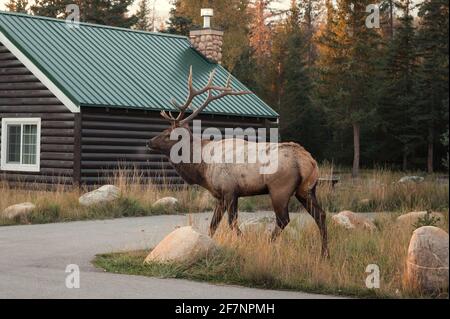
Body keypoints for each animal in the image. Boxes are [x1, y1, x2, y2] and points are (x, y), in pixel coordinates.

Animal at [149, 66, 328, 258]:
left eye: (168, 134)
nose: (149, 142)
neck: (203, 168)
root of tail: (308, 161)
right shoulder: (220, 195)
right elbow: (213, 225)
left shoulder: (230, 190)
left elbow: (232, 223)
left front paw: (244, 243)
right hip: (307, 189)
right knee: (321, 215)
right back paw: (324, 254)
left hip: (280, 188)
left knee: (283, 219)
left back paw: (269, 245)